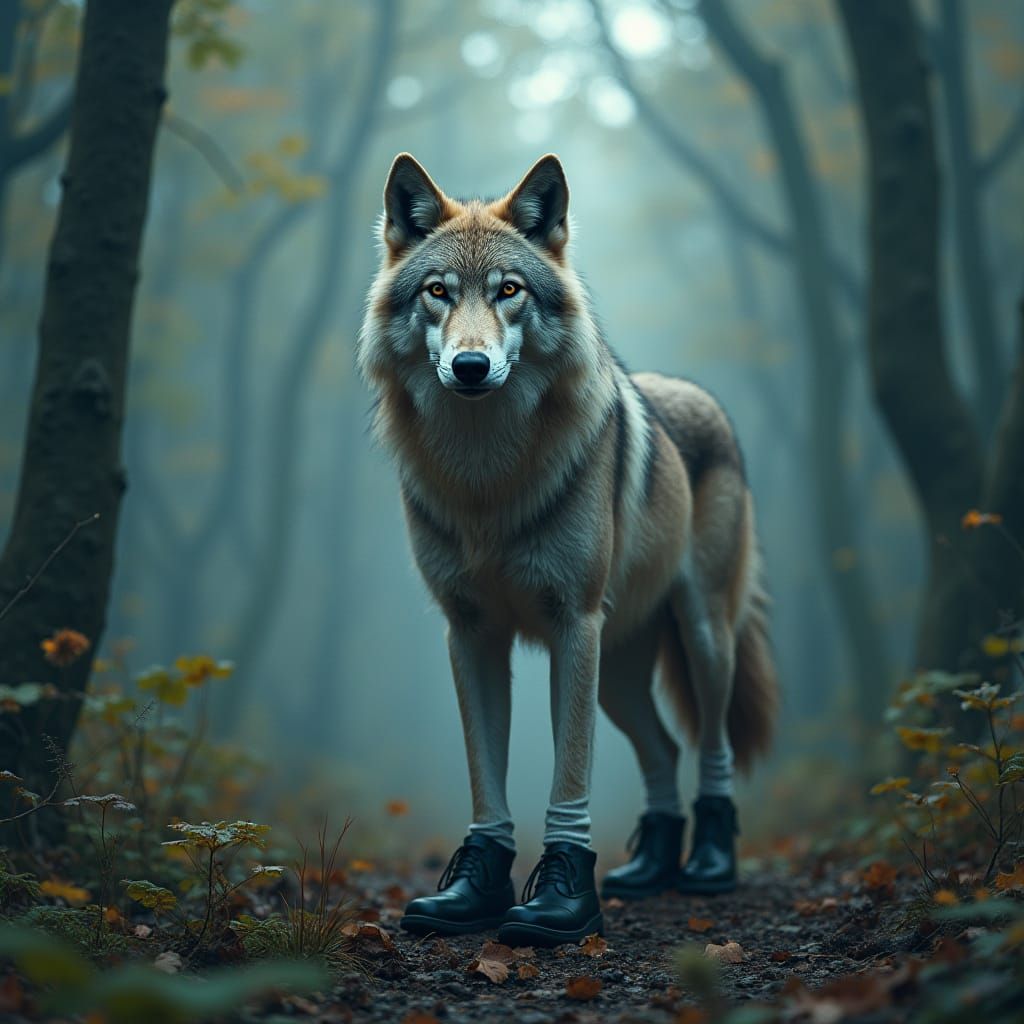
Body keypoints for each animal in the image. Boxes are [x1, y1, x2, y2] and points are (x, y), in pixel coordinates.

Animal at [358, 153, 778, 947]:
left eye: (509, 291)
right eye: (438, 291)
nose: (469, 366)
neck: (485, 478)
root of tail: (697, 393)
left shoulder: (571, 625)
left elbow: (570, 773)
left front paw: (560, 903)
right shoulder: (470, 633)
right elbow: (486, 776)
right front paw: (469, 894)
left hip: (700, 638)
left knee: (710, 746)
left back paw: (708, 865)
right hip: (619, 673)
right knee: (663, 751)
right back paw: (648, 870)